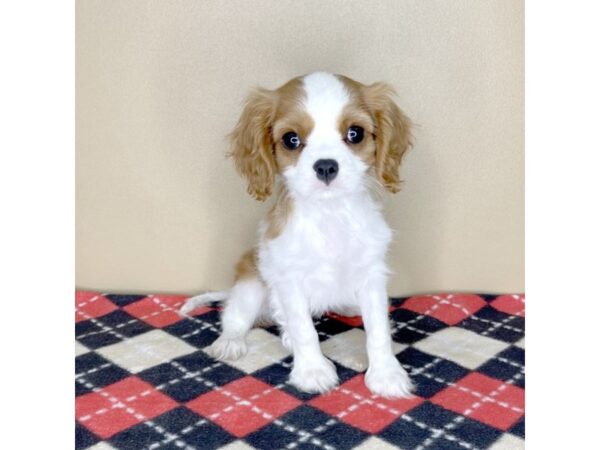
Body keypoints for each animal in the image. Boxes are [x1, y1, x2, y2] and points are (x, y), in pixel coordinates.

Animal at [183, 71, 414, 398]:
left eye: (355, 133)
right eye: (291, 139)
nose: (326, 166)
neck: (329, 214)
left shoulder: (372, 275)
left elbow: (378, 330)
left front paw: (386, 374)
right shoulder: (288, 279)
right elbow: (304, 330)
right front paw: (312, 371)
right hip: (251, 285)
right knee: (236, 316)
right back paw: (231, 341)